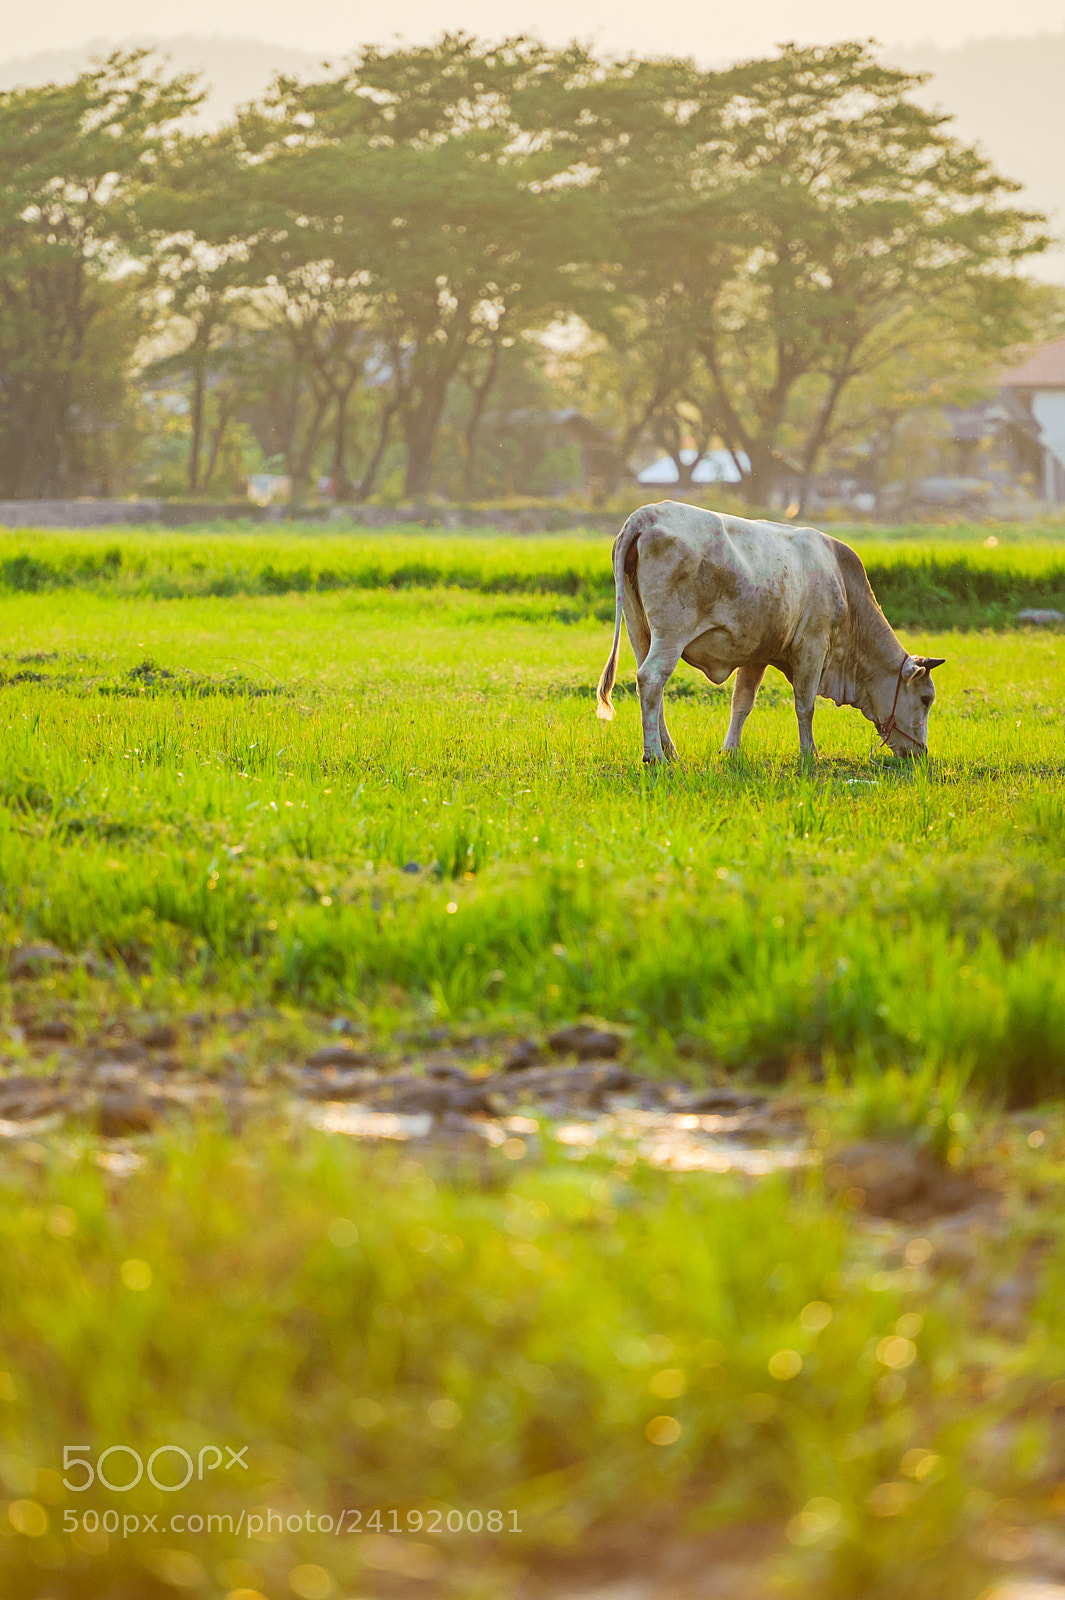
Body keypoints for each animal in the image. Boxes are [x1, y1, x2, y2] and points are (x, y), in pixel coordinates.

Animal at [595, 502, 944, 761]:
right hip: (670, 635)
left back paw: (670, 751)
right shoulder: (812, 648)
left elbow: (742, 703)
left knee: (652, 690)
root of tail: (647, 514)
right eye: (926, 698)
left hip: (640, 632)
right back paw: (654, 755)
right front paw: (810, 754)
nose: (921, 752)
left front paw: (730, 751)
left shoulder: (756, 655)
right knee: (651, 679)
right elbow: (805, 705)